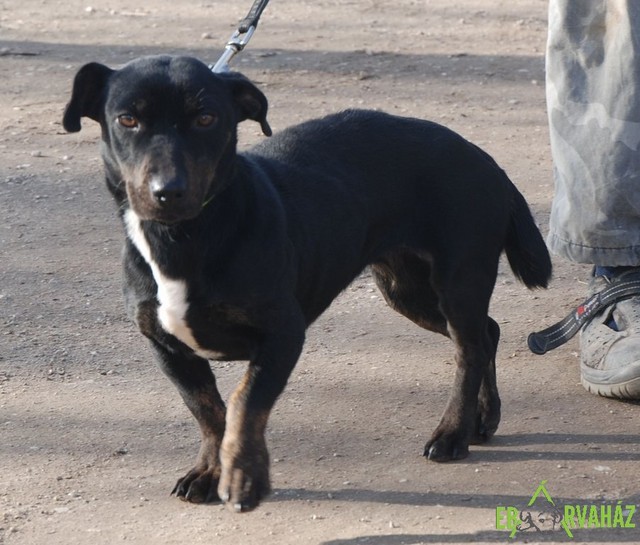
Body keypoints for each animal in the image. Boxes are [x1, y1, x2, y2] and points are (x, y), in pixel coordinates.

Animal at [63, 55, 552, 512]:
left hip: (458, 280)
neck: (186, 239)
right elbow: (207, 411)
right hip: (407, 290)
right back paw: (482, 420)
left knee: (469, 351)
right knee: (487, 332)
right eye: (127, 120)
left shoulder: (282, 334)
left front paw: (244, 477)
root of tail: (487, 160)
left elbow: (243, 403)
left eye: (206, 118)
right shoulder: (168, 348)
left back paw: (452, 434)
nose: (168, 191)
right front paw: (210, 470)